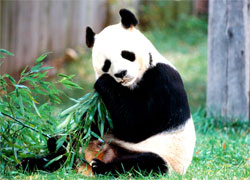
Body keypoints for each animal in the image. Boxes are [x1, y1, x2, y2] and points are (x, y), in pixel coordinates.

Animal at [85, 8, 196, 176]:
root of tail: (108, 152)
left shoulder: (162, 80)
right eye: (106, 64)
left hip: (165, 157)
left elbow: (136, 125)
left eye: (126, 54)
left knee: (145, 162)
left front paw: (104, 82)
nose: (121, 73)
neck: (131, 84)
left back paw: (101, 166)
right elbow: (98, 120)